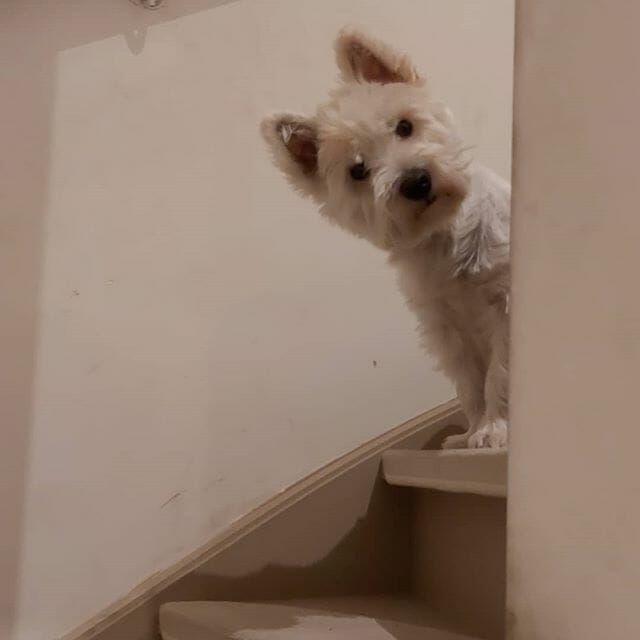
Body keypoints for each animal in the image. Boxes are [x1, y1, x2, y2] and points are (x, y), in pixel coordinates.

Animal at [260, 28, 510, 450]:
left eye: (404, 127)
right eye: (358, 170)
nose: (416, 181)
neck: (442, 235)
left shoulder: (504, 304)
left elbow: (498, 374)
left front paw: (493, 430)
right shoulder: (445, 329)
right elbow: (471, 383)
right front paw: (472, 431)